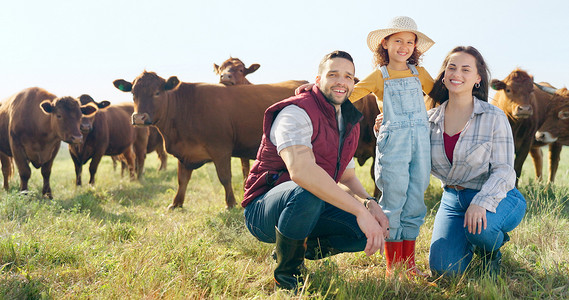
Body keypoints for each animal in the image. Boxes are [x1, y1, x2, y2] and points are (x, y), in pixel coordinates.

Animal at [112, 71, 306, 210]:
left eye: (157, 92)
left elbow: (225, 178)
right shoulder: (185, 153)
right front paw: (176, 203)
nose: (139, 118)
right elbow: (182, 180)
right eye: (133, 93)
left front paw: (230, 203)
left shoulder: (221, 149)